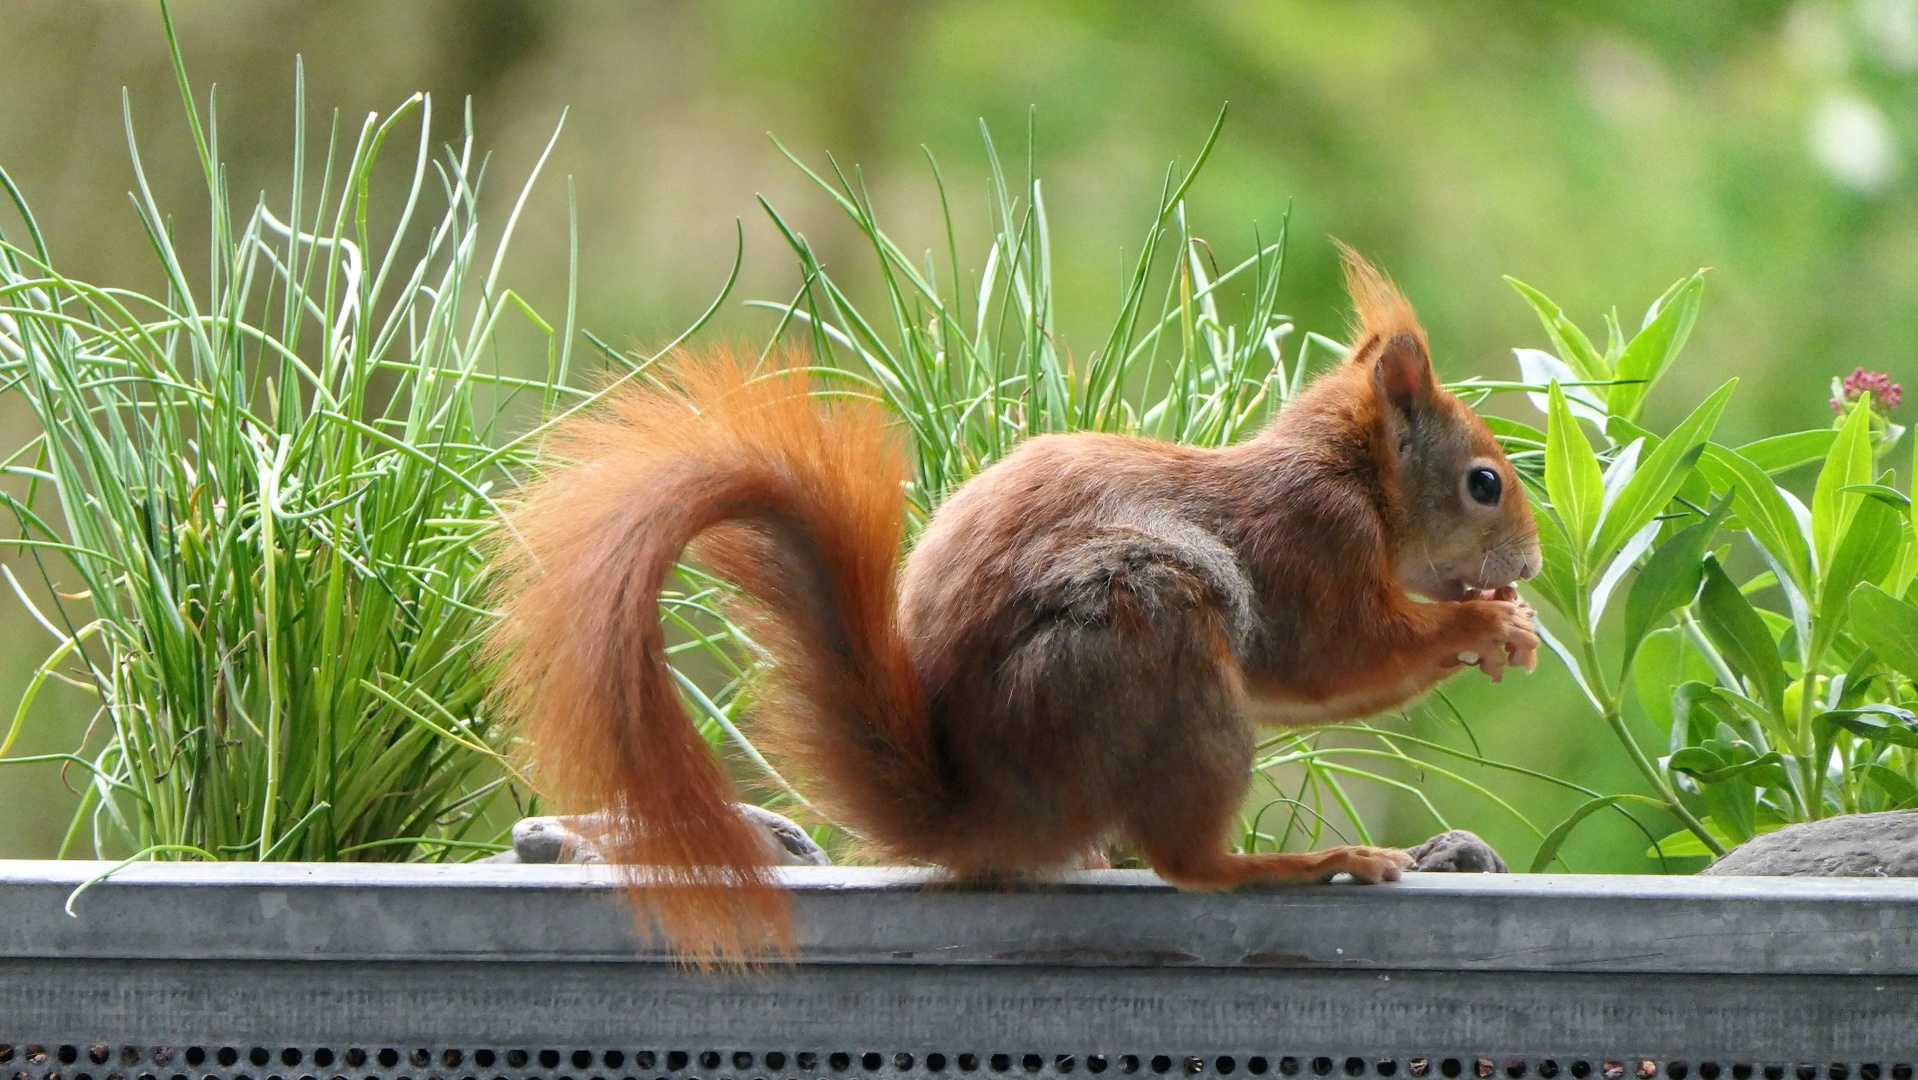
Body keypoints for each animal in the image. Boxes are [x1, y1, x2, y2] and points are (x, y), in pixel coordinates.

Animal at [491, 249, 1542, 959]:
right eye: (1485, 483)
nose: (1528, 567)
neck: (1350, 472)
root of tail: (983, 807)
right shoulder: (1313, 543)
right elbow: (1336, 656)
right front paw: (1485, 625)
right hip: (1153, 633)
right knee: (1188, 864)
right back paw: (1303, 864)